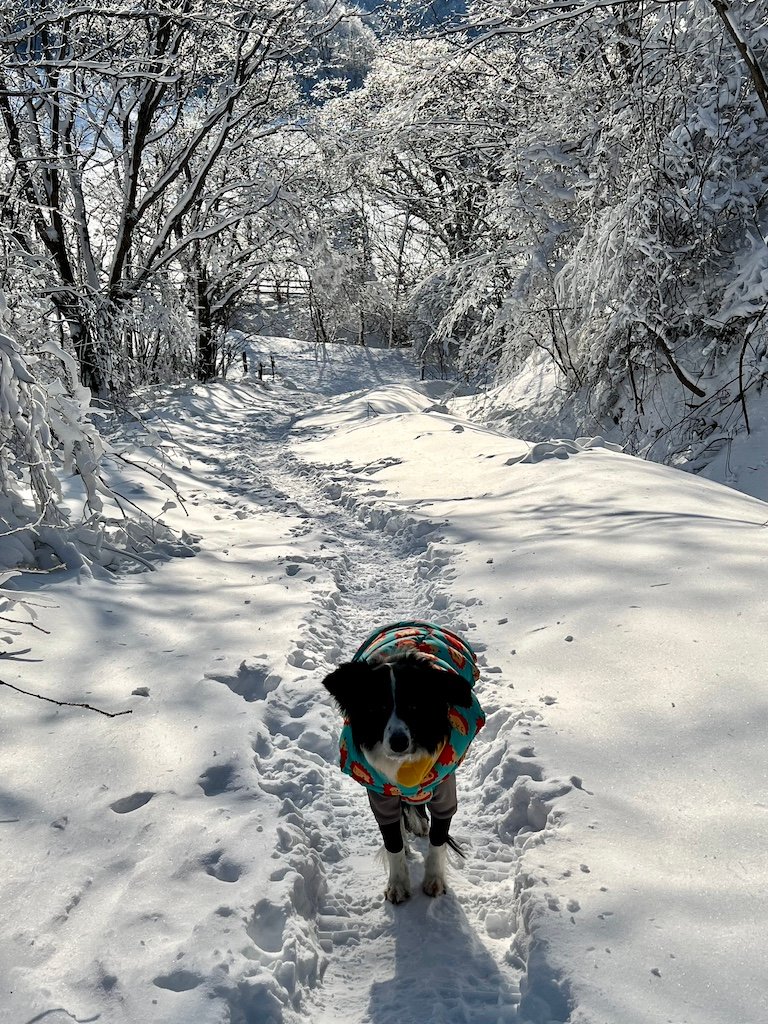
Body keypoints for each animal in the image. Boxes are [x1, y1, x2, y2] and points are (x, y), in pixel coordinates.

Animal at [321, 618, 483, 901]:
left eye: (415, 706)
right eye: (375, 707)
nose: (398, 742)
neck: (406, 767)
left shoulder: (444, 792)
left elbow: (438, 841)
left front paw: (434, 880)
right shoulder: (380, 796)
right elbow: (392, 842)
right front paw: (398, 884)